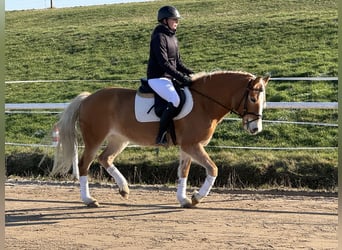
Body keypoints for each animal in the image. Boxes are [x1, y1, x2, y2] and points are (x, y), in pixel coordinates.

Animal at [51, 70, 270, 207]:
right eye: (252, 98)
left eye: (263, 100)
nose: (255, 128)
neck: (204, 103)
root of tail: (87, 98)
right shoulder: (192, 145)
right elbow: (213, 169)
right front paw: (196, 197)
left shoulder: (187, 147)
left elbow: (183, 172)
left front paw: (183, 200)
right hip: (95, 139)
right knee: (84, 164)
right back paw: (89, 200)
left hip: (119, 139)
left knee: (105, 159)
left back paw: (124, 189)